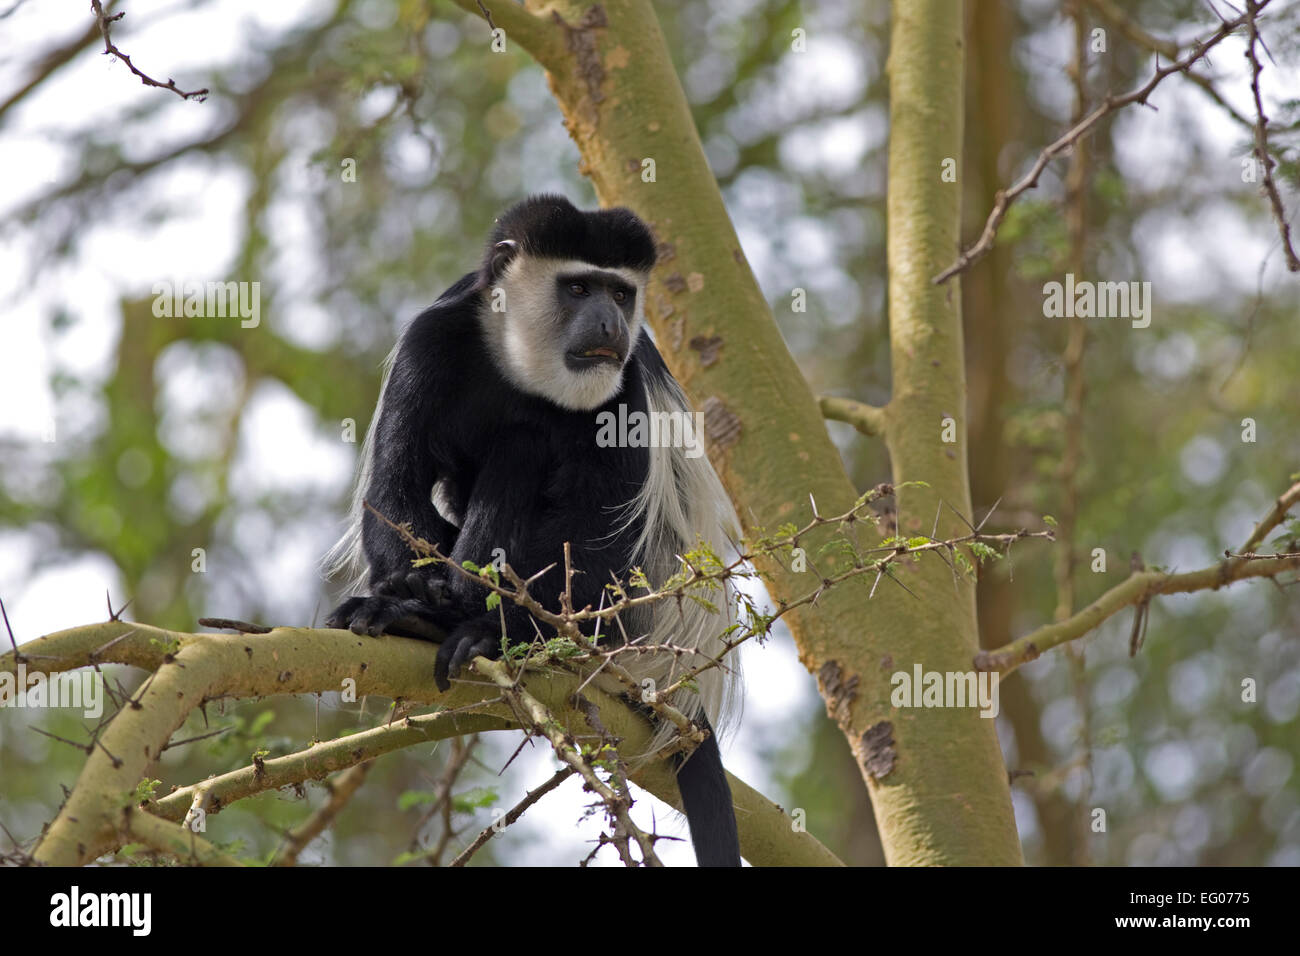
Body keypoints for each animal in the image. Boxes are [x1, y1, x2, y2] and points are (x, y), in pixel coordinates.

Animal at [324, 195, 742, 867]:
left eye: (620, 292)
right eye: (577, 288)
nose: (610, 323)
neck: (523, 370)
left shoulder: (623, 391)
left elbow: (601, 538)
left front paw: (485, 629)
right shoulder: (430, 340)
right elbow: (396, 490)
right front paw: (403, 598)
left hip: (627, 629)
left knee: (523, 448)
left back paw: (464, 622)